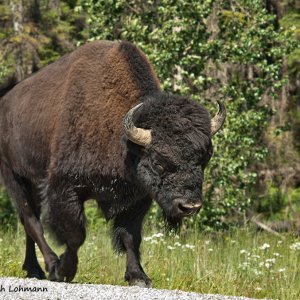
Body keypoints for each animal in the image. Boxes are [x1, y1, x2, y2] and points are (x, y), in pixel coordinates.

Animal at [0, 39, 225, 286]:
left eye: (204, 160)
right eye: (158, 163)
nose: (189, 207)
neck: (123, 141)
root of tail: (5, 101)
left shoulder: (137, 198)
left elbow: (130, 237)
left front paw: (138, 277)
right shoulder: (64, 188)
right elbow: (76, 235)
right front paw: (63, 270)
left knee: (28, 225)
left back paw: (34, 269)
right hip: (15, 178)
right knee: (32, 222)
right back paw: (49, 266)